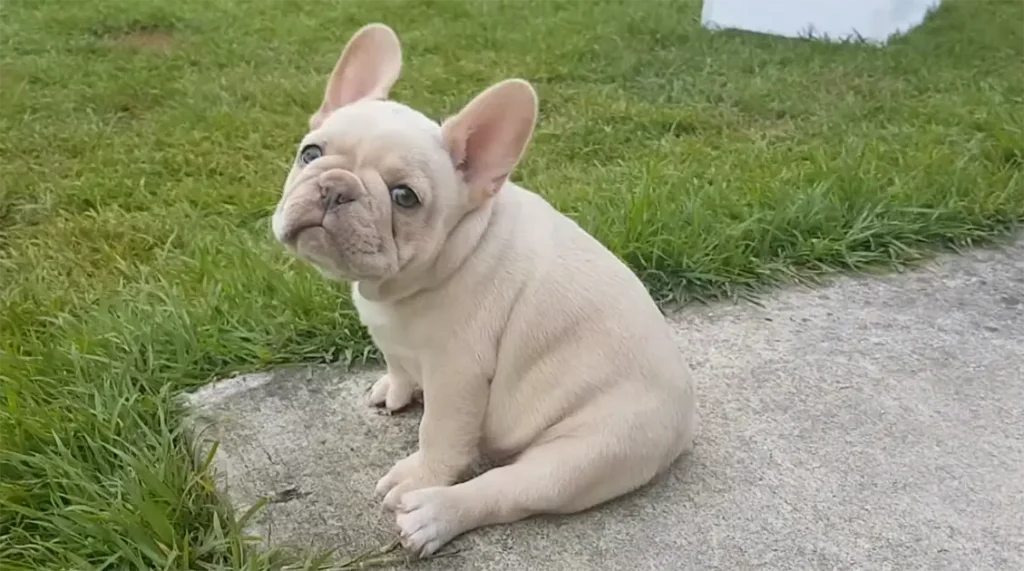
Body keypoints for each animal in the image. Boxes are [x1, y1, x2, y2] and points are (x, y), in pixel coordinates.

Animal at [274, 23, 696, 560]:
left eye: (405, 197)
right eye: (310, 153)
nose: (335, 188)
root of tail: (684, 423)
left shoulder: (457, 375)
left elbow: (439, 434)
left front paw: (420, 475)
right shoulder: (397, 341)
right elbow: (396, 362)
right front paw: (395, 389)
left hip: (593, 449)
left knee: (511, 489)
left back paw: (434, 515)